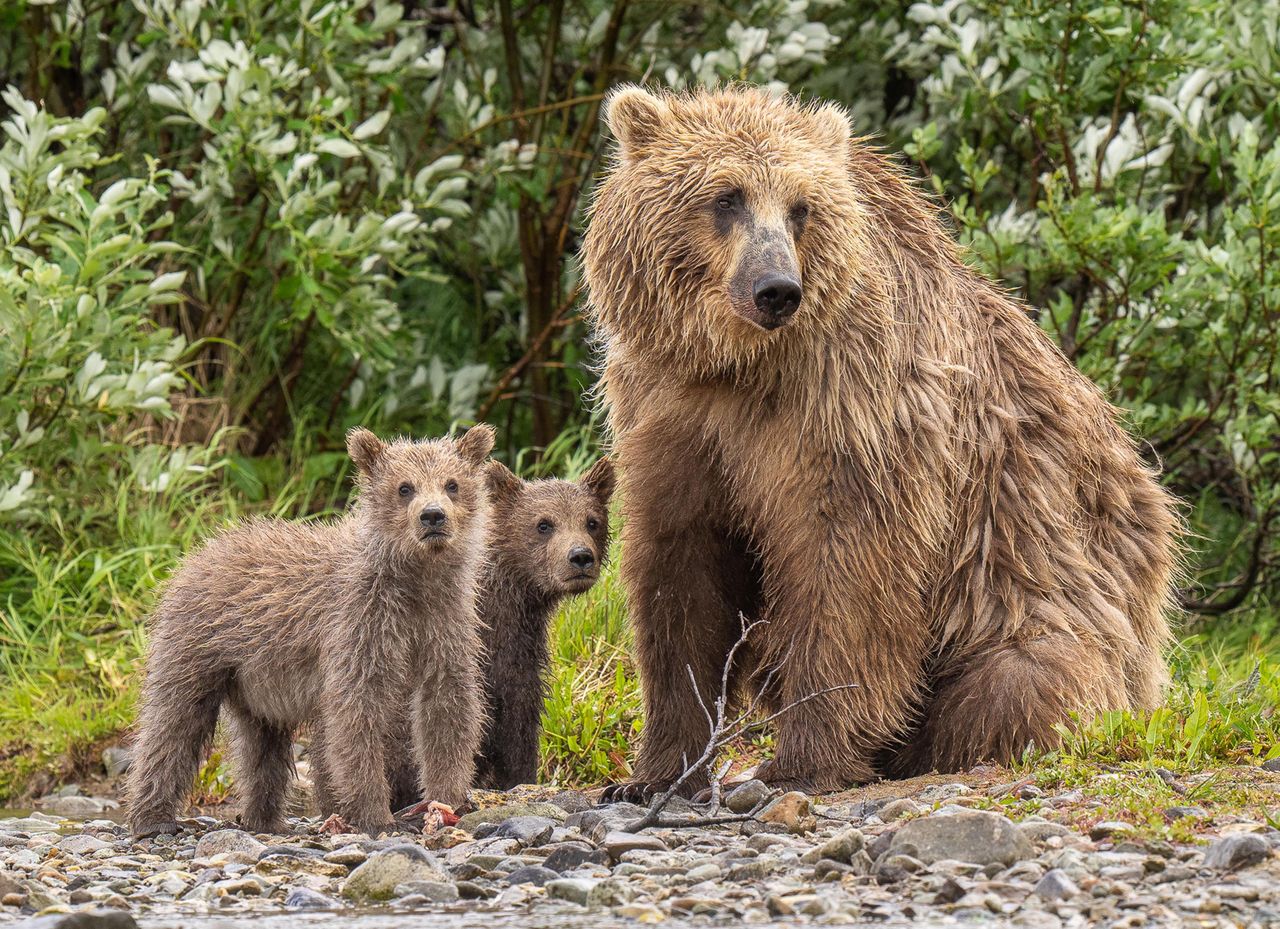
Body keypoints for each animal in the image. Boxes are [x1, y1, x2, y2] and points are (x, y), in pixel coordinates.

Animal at [581, 87, 1177, 798]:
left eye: (801, 206)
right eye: (726, 197)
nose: (777, 289)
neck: (741, 366)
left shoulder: (853, 410)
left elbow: (849, 567)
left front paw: (803, 761)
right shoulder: (672, 413)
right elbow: (682, 573)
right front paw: (654, 772)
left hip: (1044, 592)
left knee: (1022, 680)